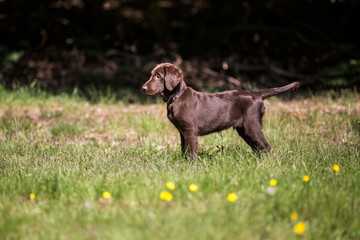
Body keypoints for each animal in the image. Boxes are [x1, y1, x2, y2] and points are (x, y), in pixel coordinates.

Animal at [142, 62, 300, 158]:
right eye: (152, 75)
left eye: (158, 76)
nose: (143, 88)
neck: (176, 97)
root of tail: (255, 94)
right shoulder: (183, 132)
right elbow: (184, 150)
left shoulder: (189, 130)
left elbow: (191, 151)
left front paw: (190, 168)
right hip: (244, 129)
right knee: (258, 147)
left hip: (252, 125)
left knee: (265, 146)